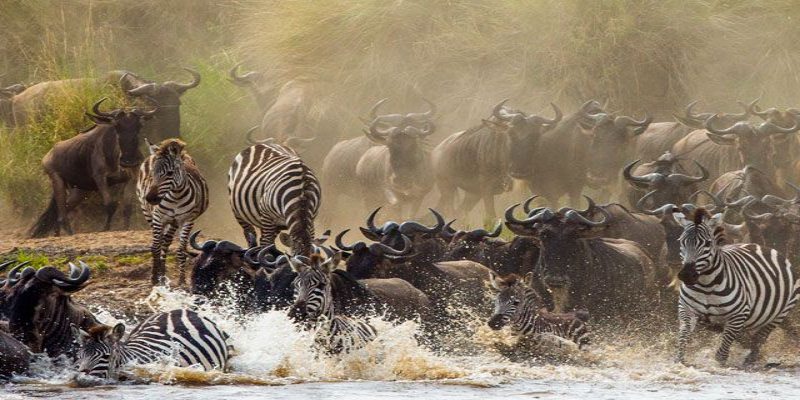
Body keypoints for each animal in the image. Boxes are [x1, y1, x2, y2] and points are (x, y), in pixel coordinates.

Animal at [137, 138, 208, 285]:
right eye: (152, 173)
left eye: (169, 173)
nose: (150, 198)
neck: (176, 196)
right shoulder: (158, 218)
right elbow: (155, 247)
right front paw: (154, 278)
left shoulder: (187, 220)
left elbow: (181, 250)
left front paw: (181, 279)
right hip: (148, 214)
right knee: (160, 243)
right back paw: (159, 274)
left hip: (173, 222)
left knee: (166, 242)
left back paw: (163, 275)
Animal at [674, 207, 800, 366]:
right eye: (681, 242)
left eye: (707, 243)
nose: (687, 275)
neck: (706, 285)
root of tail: (757, 244)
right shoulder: (687, 310)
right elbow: (683, 337)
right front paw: (680, 361)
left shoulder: (738, 315)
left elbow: (723, 350)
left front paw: (719, 365)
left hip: (780, 313)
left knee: (760, 337)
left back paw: (751, 360)